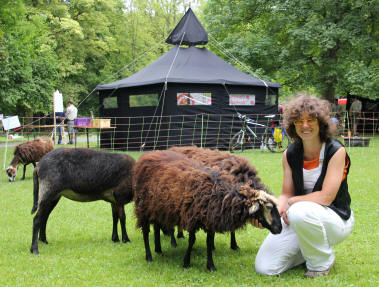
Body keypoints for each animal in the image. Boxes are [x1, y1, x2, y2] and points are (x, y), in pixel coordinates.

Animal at [134, 151, 282, 272]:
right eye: (269, 208)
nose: (279, 229)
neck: (218, 195)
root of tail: (148, 155)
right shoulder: (192, 217)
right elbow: (192, 240)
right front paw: (186, 262)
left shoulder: (210, 219)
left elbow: (209, 242)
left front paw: (211, 265)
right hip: (144, 207)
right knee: (146, 232)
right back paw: (150, 256)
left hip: (159, 209)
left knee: (157, 226)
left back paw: (158, 249)